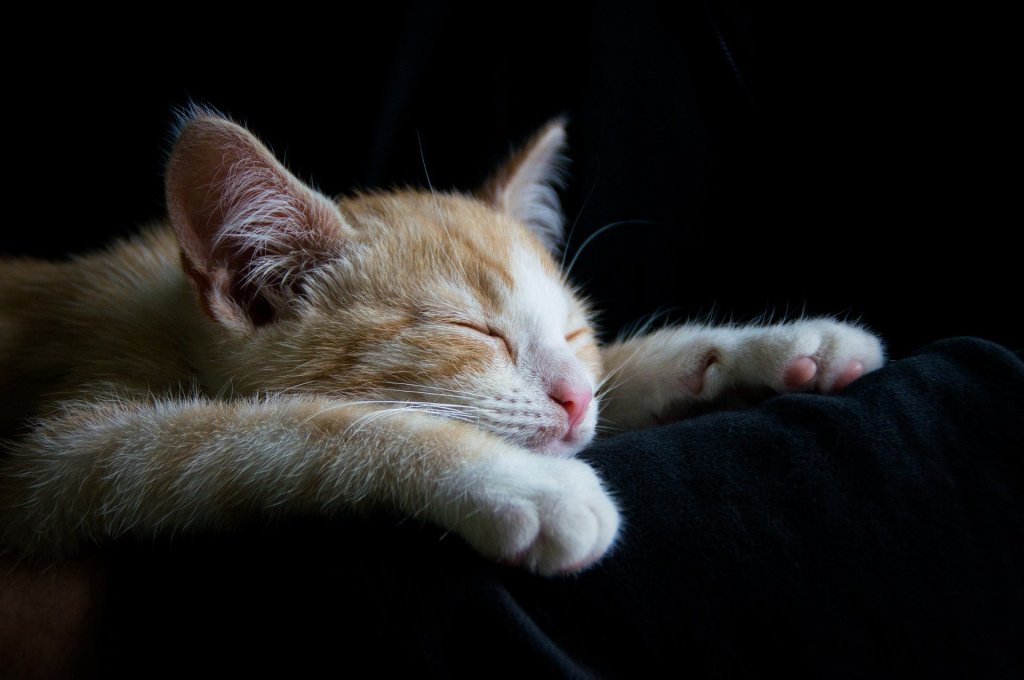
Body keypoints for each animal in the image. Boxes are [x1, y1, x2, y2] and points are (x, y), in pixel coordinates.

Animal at [0, 110, 880, 573]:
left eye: (575, 332)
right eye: (470, 332)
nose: (573, 396)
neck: (163, 318)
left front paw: (784, 346)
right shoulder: (59, 463)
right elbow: (262, 432)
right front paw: (523, 483)